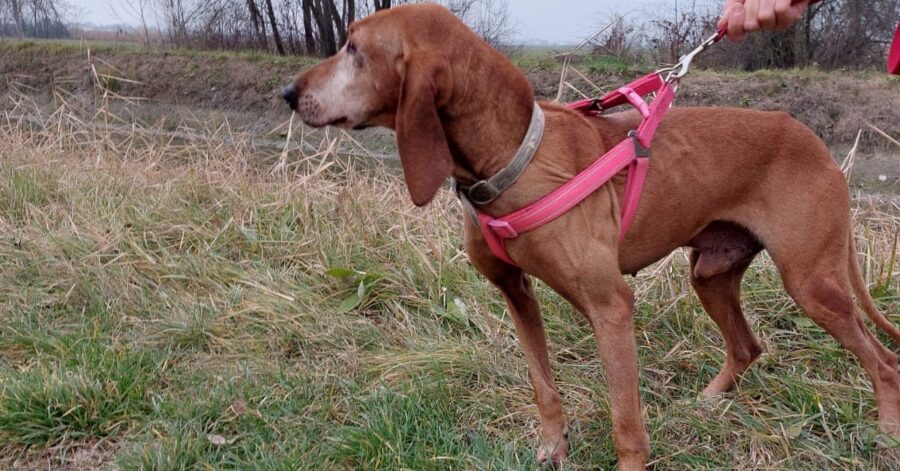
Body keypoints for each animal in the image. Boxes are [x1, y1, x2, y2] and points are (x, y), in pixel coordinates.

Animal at [286, 5, 900, 470]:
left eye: (353, 48)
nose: (289, 93)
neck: (513, 156)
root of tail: (816, 143)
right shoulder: (515, 292)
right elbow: (544, 386)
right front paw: (553, 449)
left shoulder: (610, 306)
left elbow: (625, 418)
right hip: (710, 273)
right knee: (748, 345)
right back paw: (706, 402)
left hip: (812, 283)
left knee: (884, 361)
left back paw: (887, 432)